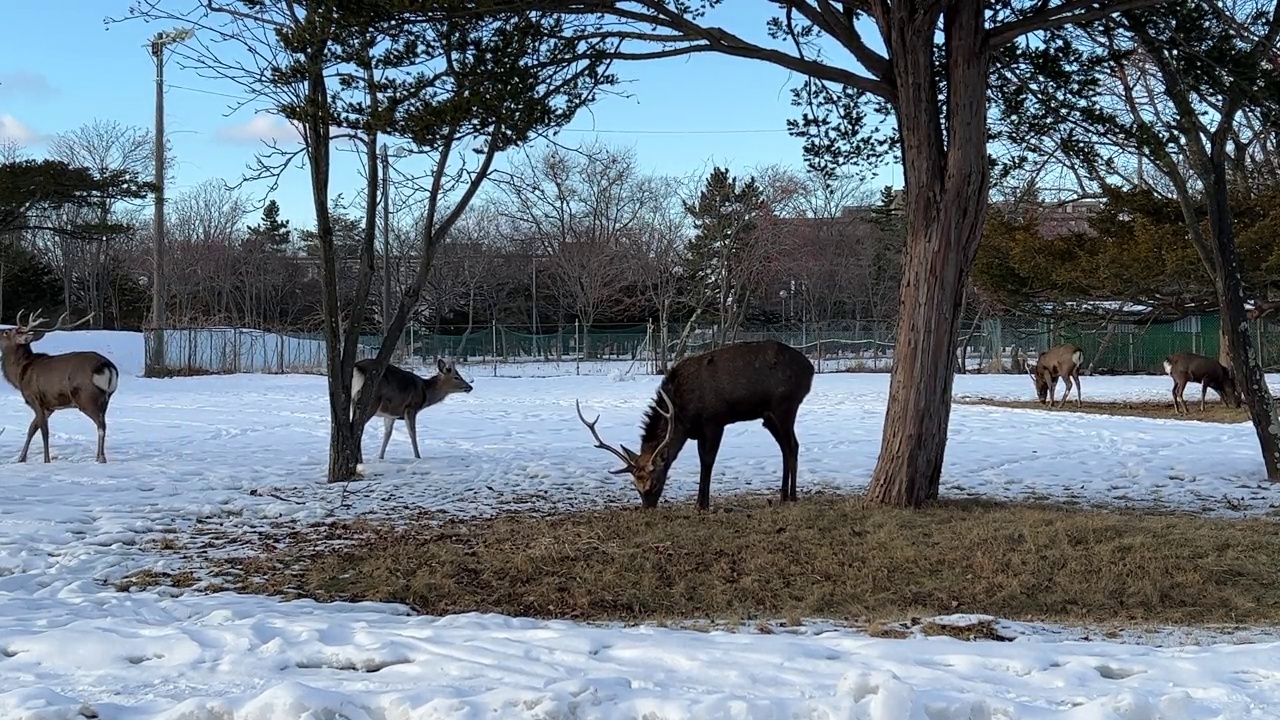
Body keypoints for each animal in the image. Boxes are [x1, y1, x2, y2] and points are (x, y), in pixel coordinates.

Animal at [0, 308, 120, 458]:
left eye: (6, 332)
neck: (19, 373)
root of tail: (106, 366)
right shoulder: (50, 406)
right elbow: (32, 428)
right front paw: (21, 458)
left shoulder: (35, 398)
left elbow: (44, 432)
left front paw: (46, 459)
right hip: (106, 398)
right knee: (103, 423)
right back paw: (99, 456)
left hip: (86, 397)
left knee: (101, 425)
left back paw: (101, 458)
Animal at [576, 338, 814, 509]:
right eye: (636, 486)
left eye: (655, 483)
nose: (647, 508)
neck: (683, 417)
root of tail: (810, 369)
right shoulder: (699, 431)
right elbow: (702, 460)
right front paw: (700, 502)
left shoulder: (715, 422)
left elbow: (707, 461)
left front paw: (702, 504)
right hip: (768, 417)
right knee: (786, 447)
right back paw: (784, 495)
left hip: (785, 406)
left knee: (792, 445)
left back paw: (791, 496)